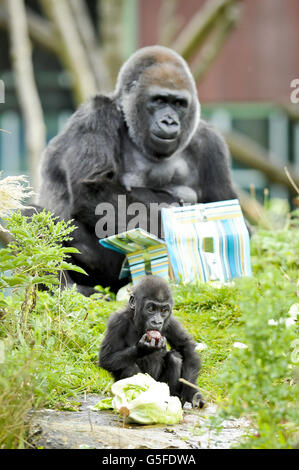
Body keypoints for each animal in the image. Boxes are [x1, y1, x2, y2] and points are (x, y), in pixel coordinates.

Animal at [38, 44, 239, 294]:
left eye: (179, 104)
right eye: (159, 100)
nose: (169, 121)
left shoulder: (211, 144)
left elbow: (225, 203)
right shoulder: (96, 112)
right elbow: (92, 189)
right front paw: (169, 230)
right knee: (34, 216)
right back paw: (71, 289)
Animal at [99, 276, 205, 408]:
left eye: (164, 310)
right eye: (150, 308)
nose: (157, 322)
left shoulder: (171, 321)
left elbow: (186, 347)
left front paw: (192, 393)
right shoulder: (117, 321)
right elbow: (106, 358)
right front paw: (143, 348)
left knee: (174, 358)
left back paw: (171, 399)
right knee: (128, 367)